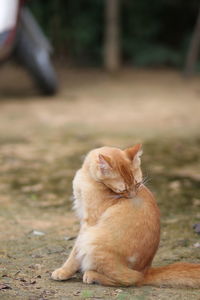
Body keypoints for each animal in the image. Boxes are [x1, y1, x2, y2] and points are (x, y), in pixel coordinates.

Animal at [51, 144, 200, 288]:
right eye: (123, 189)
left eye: (138, 184)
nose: (132, 196)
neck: (87, 177)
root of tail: (145, 271)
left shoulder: (89, 223)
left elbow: (75, 252)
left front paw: (64, 271)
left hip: (93, 240)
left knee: (130, 279)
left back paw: (92, 275)